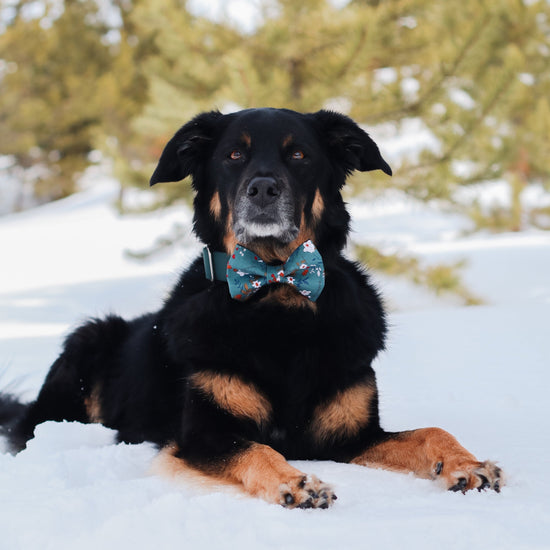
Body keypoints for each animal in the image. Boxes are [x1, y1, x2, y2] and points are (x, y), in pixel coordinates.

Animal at [0, 110, 504, 512]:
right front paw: (297, 484)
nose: (263, 188)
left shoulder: (351, 437)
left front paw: (466, 463)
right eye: (233, 156)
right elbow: (257, 451)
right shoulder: (202, 436)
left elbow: (429, 432)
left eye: (299, 155)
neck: (277, 294)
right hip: (87, 339)